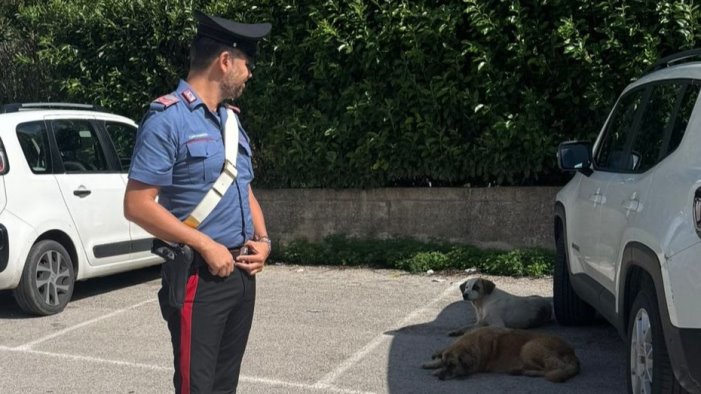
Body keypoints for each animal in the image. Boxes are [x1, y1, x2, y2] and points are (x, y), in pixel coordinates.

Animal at [422, 326, 580, 382]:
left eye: (452, 365)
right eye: (446, 364)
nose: (441, 377)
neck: (473, 343)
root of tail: (571, 351)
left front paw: (436, 370)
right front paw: (433, 362)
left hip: (529, 347)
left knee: (552, 369)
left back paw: (526, 372)